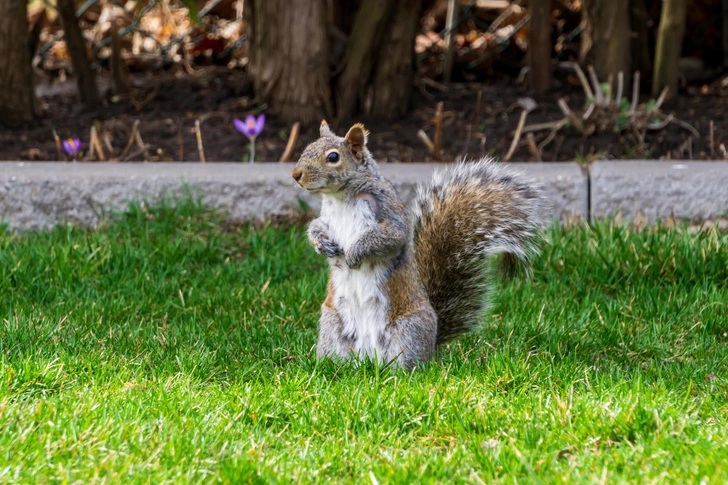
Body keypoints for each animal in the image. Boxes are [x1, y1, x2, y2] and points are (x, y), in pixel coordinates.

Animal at [290, 122, 540, 370]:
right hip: (332, 324)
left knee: (406, 365)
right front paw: (322, 245)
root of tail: (368, 359)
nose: (296, 175)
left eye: (333, 157)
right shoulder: (326, 218)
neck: (340, 197)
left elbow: (389, 237)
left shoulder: (390, 216)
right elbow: (316, 226)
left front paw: (354, 253)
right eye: (308, 147)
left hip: (408, 330)